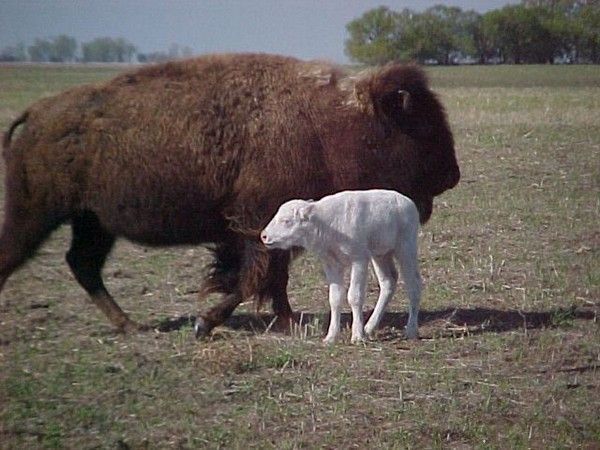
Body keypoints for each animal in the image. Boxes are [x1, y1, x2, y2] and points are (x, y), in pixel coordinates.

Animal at [262, 188, 422, 342]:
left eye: (286, 221)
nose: (264, 236)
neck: (324, 223)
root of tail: (408, 202)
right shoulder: (331, 264)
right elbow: (335, 298)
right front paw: (331, 337)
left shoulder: (359, 260)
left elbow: (354, 296)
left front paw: (357, 336)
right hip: (381, 255)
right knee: (388, 281)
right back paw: (369, 327)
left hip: (406, 249)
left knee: (414, 285)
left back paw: (410, 330)